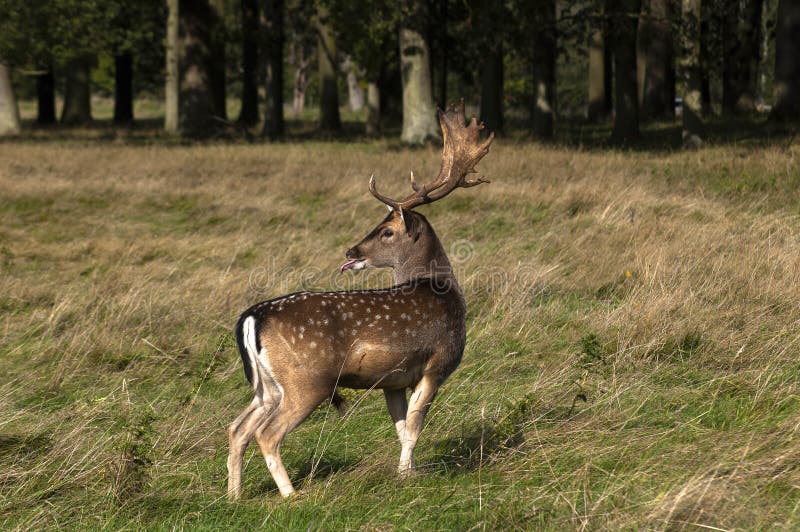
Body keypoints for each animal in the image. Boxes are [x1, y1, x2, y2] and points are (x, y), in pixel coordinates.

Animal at [227, 101, 494, 498]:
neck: (441, 289)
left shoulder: (393, 380)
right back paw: (292, 495)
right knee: (266, 434)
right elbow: (414, 426)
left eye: (386, 231)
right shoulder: (437, 362)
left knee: (237, 428)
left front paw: (408, 472)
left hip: (267, 386)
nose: (350, 251)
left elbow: (401, 427)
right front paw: (407, 475)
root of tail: (250, 318)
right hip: (307, 380)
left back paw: (234, 495)